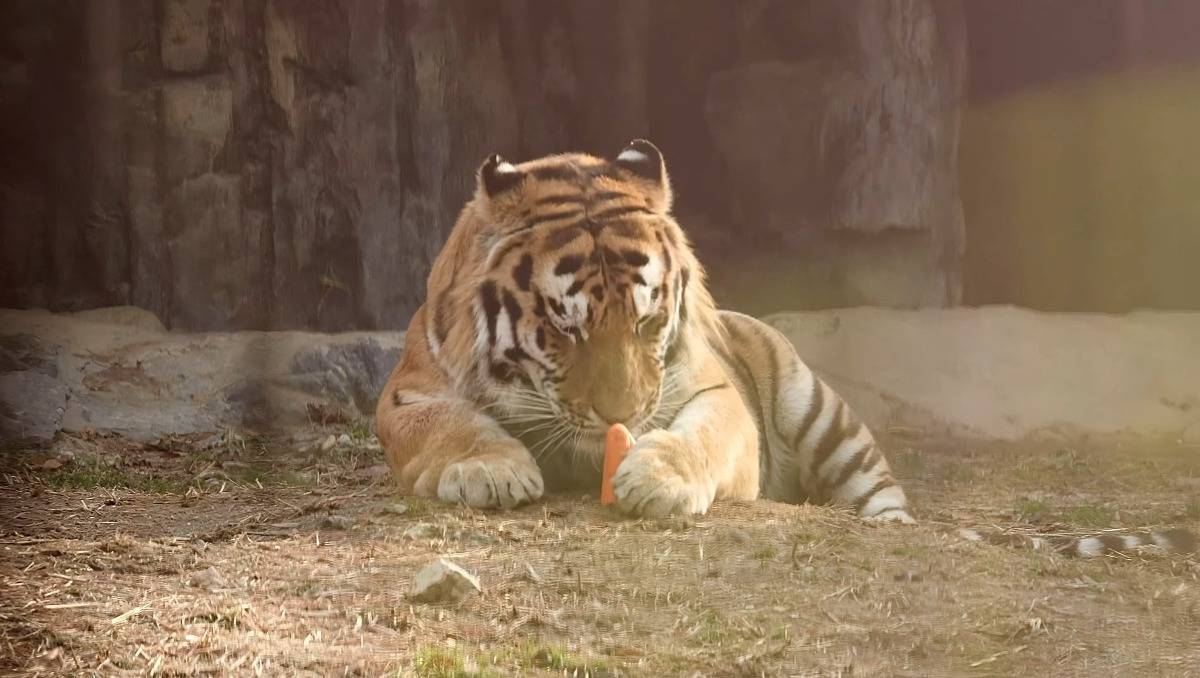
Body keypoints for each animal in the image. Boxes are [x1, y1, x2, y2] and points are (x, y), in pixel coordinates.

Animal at [372, 137, 907, 518]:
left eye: (647, 320)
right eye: (566, 328)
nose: (621, 419)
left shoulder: (715, 389)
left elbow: (703, 434)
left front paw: (659, 480)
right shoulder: (408, 393)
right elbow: (448, 423)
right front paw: (491, 469)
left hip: (824, 415)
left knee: (882, 494)